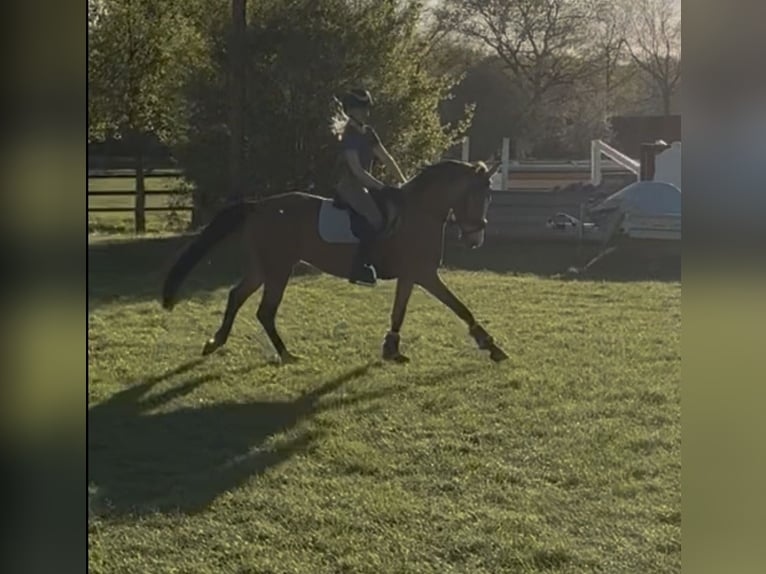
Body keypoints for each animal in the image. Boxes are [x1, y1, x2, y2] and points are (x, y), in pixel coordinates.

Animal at [161, 159, 509, 364]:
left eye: (490, 197)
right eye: (476, 196)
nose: (475, 239)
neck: (420, 212)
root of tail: (258, 205)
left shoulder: (411, 275)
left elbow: (399, 312)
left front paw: (391, 348)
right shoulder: (424, 273)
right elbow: (460, 307)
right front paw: (491, 345)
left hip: (264, 267)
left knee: (236, 296)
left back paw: (215, 342)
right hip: (278, 269)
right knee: (264, 311)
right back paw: (286, 354)